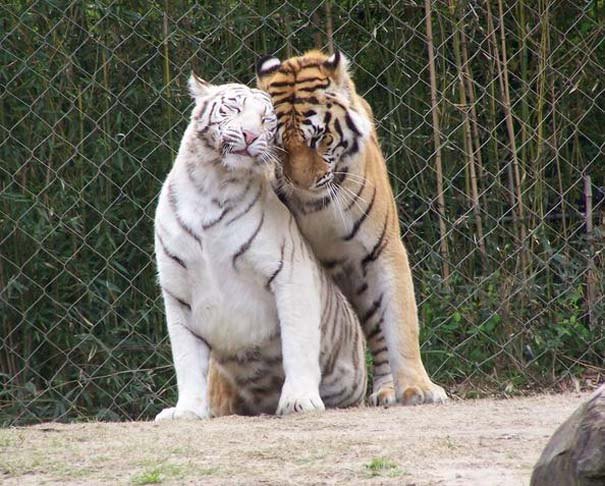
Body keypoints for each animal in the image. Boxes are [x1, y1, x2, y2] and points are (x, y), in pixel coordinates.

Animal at [153, 74, 366, 420]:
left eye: (267, 120)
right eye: (233, 108)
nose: (250, 135)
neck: (212, 187)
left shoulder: (291, 273)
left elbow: (298, 342)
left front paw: (300, 400)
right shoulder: (177, 291)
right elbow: (186, 359)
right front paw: (187, 410)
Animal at [252, 50, 446, 406]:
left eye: (318, 138)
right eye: (279, 144)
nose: (302, 184)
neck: (316, 206)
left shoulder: (384, 248)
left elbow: (402, 322)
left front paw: (419, 388)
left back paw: (387, 389)